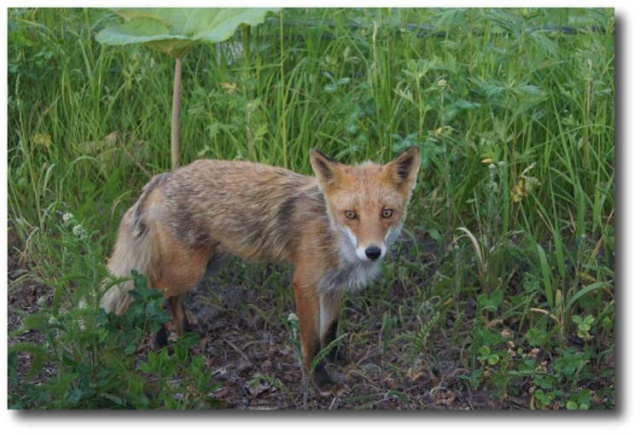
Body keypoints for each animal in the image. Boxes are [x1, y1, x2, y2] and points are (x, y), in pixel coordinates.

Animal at [101, 147, 420, 398]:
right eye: (351, 215)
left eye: (387, 213)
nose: (372, 251)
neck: (331, 232)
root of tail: (165, 176)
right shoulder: (305, 284)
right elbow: (311, 340)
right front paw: (321, 380)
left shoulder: (333, 285)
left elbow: (330, 329)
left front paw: (337, 357)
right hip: (189, 269)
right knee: (151, 290)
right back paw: (161, 340)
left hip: (207, 264)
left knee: (172, 297)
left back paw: (185, 332)